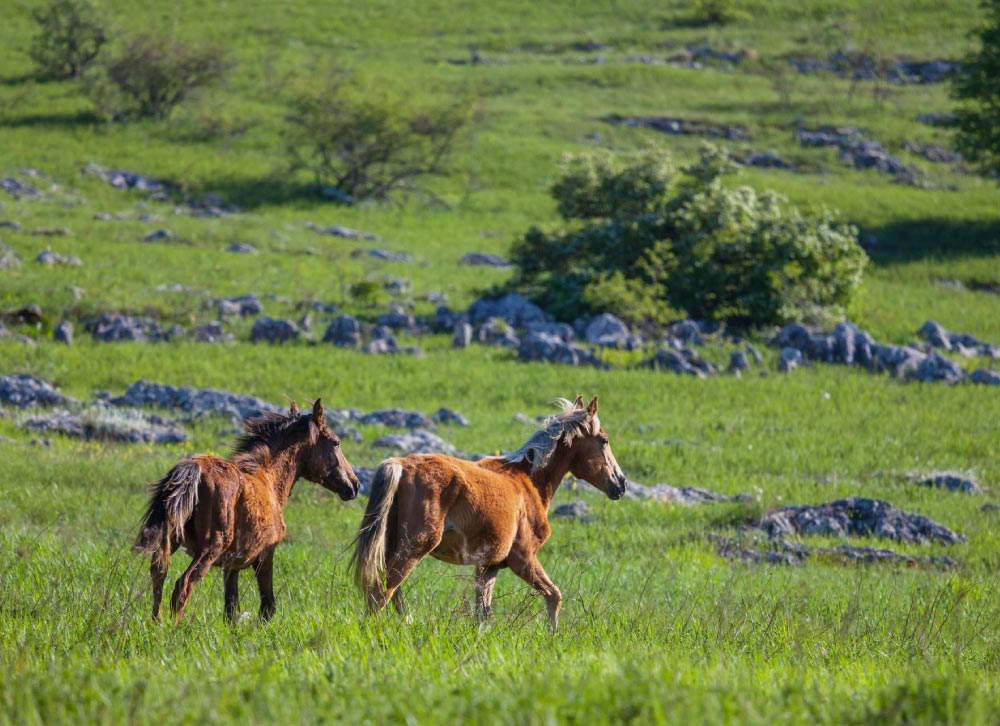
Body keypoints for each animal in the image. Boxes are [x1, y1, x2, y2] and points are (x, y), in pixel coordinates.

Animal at [133, 400, 360, 624]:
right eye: (336, 442)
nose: (355, 485)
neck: (270, 479)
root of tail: (192, 471)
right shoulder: (265, 554)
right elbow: (268, 606)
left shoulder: (232, 565)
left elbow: (231, 609)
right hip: (211, 546)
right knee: (183, 584)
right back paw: (174, 629)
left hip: (171, 538)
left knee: (158, 574)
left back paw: (157, 623)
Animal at [352, 396, 624, 628]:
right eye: (604, 440)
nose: (620, 484)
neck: (529, 481)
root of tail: (400, 464)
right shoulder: (523, 558)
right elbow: (554, 595)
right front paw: (553, 635)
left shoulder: (489, 566)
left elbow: (482, 614)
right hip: (415, 546)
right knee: (381, 592)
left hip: (393, 545)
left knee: (391, 592)